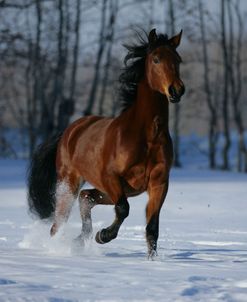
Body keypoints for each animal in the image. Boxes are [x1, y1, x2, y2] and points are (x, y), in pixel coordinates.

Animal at [28, 28, 184, 258]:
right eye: (156, 59)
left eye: (178, 60)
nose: (176, 90)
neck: (147, 136)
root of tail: (70, 131)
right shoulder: (111, 177)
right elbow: (123, 209)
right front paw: (103, 236)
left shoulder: (159, 183)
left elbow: (152, 227)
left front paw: (152, 262)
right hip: (70, 183)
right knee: (59, 222)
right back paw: (60, 247)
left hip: (107, 190)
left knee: (86, 197)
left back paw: (79, 241)